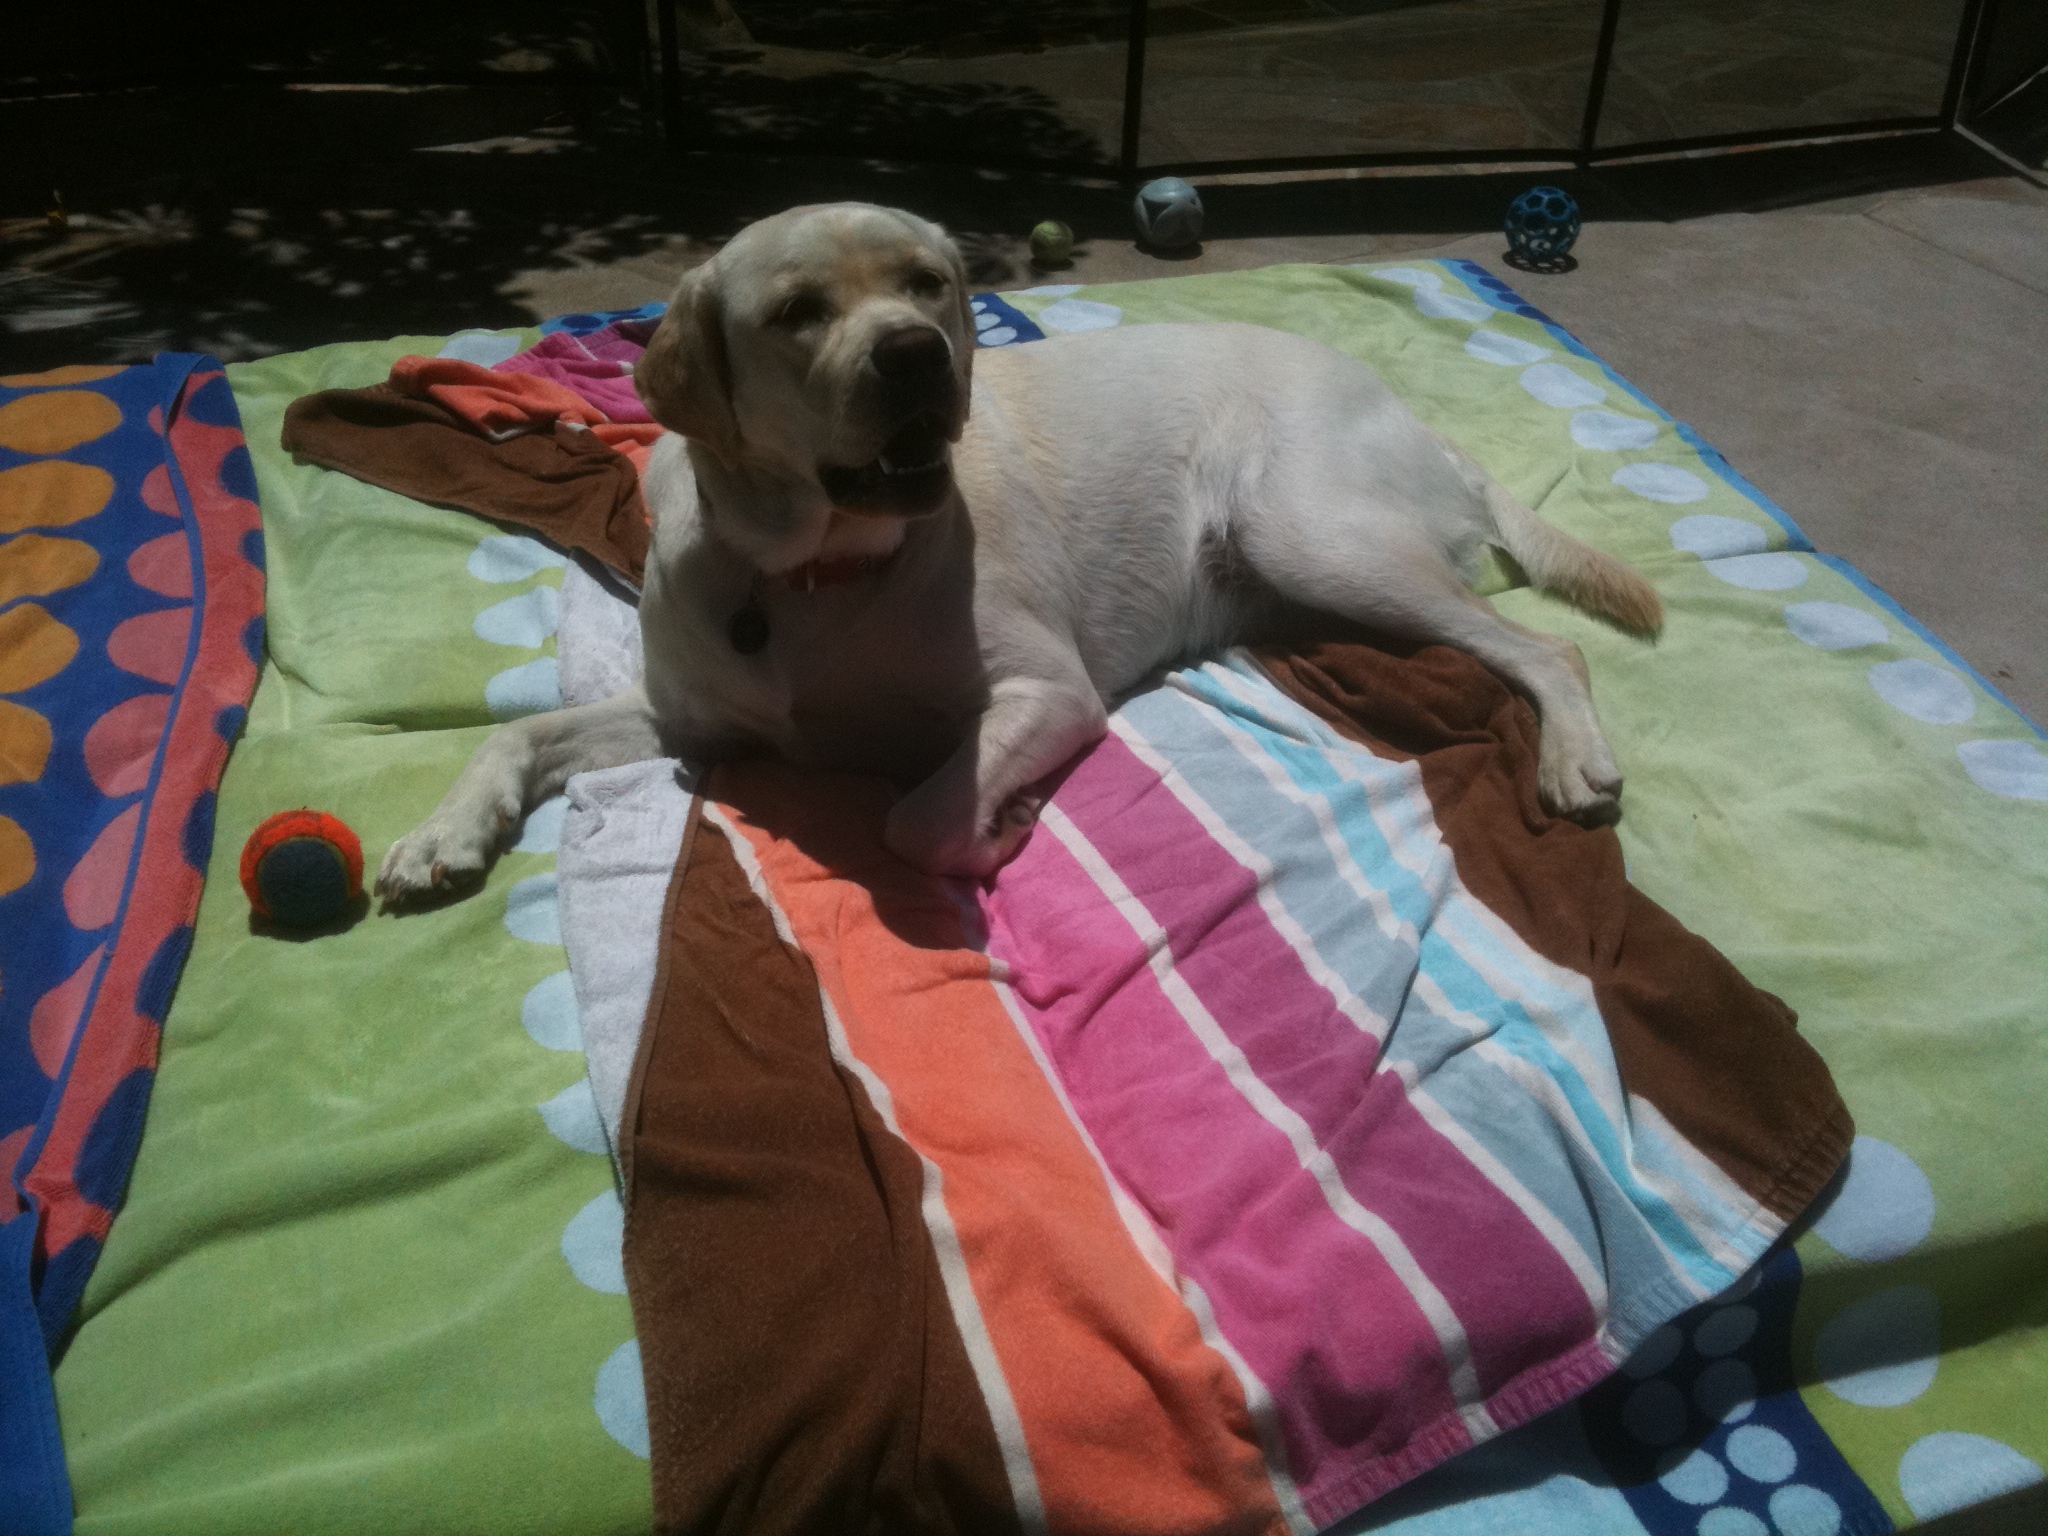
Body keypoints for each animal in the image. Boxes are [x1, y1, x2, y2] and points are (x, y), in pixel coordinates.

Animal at [376, 201, 1659, 900]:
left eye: (929, 284)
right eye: (795, 313)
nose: (916, 355)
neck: (812, 570)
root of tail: (1417, 420)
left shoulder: (1048, 692)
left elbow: (916, 817)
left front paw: (1002, 823)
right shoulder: (691, 719)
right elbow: (517, 732)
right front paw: (441, 831)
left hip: (1309, 533)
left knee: (1542, 649)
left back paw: (1572, 760)